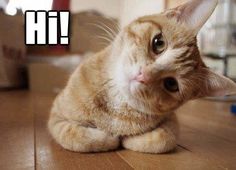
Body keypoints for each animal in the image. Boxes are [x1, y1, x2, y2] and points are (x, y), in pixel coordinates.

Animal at [48, 0, 236, 154]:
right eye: (159, 43)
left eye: (171, 84)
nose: (143, 75)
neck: (116, 102)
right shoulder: (55, 115)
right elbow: (72, 135)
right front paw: (106, 138)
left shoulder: (172, 121)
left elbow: (164, 139)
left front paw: (129, 140)